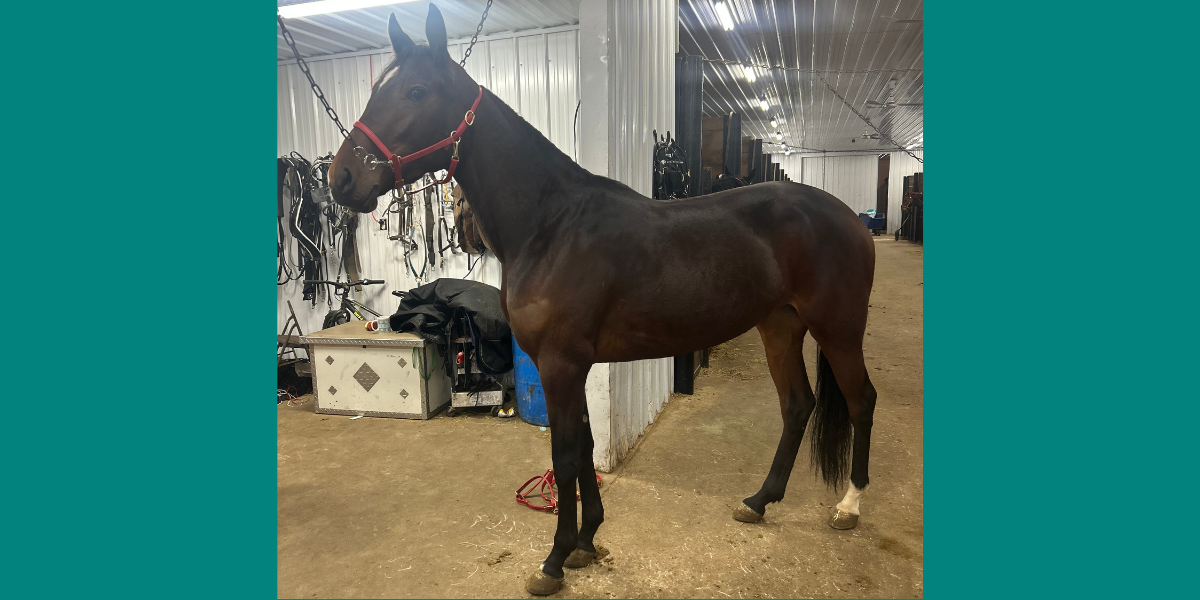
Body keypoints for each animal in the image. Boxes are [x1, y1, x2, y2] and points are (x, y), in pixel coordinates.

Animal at [329, 5, 878, 595]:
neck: (550, 226)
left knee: (861, 400)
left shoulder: (560, 363)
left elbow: (567, 454)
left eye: (415, 91)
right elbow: (587, 446)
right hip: (780, 326)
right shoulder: (573, 365)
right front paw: (587, 542)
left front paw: (554, 558)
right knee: (797, 405)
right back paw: (758, 502)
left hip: (838, 329)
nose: (340, 178)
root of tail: (851, 220)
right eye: (377, 90)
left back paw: (848, 506)